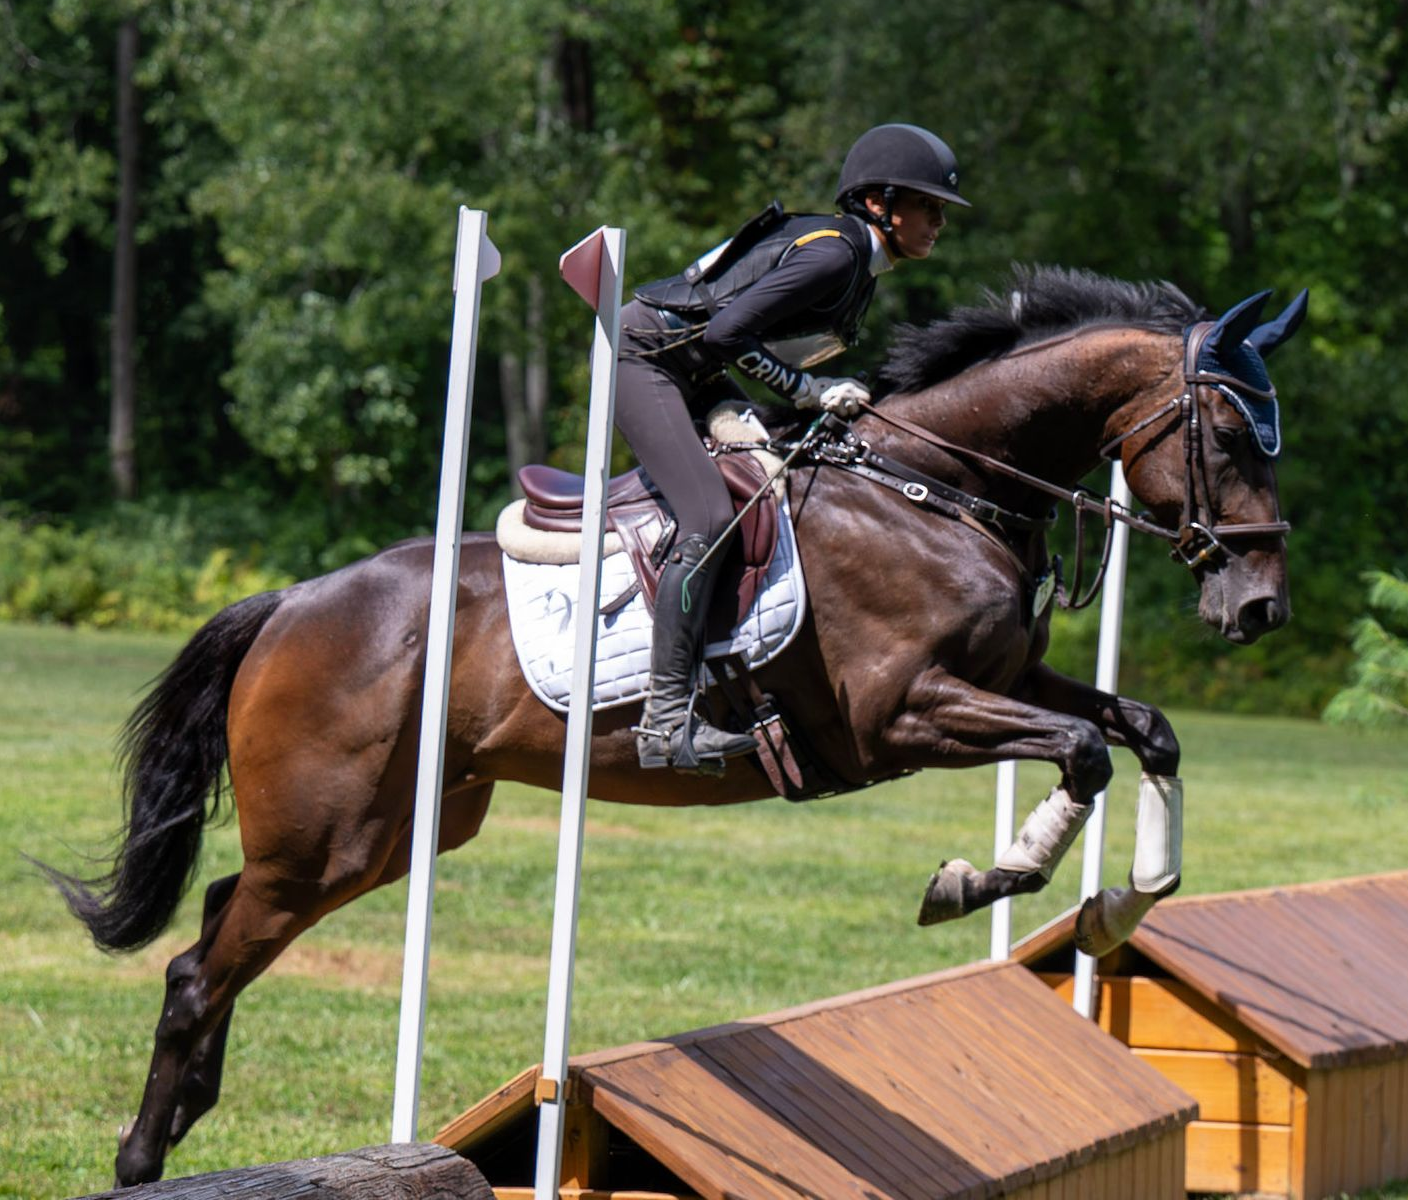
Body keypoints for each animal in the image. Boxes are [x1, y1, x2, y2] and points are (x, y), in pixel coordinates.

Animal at [41, 265, 1305, 1185]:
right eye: (1229, 438)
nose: (1260, 609)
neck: (931, 487)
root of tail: (292, 603)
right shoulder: (902, 716)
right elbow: (1084, 752)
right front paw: (971, 882)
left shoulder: (1012, 679)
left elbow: (1143, 730)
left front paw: (1122, 907)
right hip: (331, 834)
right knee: (197, 968)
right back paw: (142, 1156)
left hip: (394, 831)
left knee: (220, 920)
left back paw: (191, 1111)